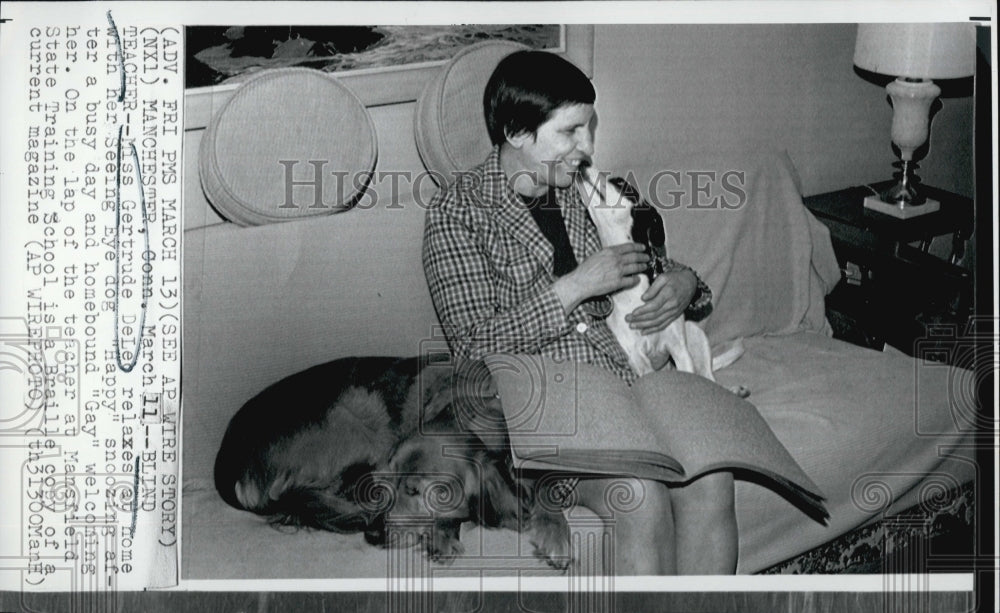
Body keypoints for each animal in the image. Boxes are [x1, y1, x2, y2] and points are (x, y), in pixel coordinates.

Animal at [580, 164, 744, 392]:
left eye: (620, 182)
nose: (582, 164)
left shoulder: (679, 349)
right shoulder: (635, 355)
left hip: (695, 334)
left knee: (708, 378)